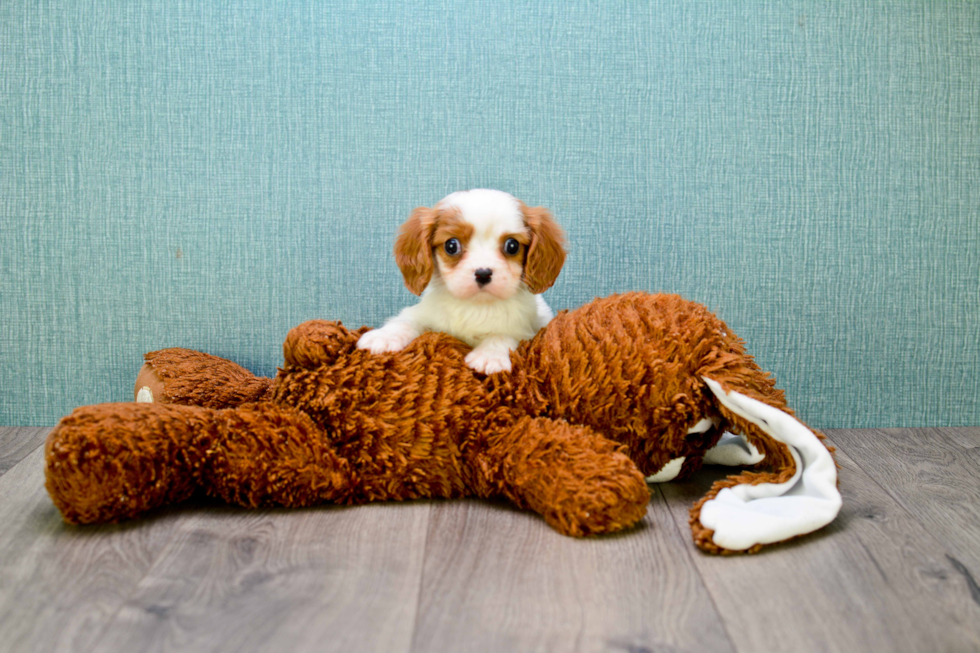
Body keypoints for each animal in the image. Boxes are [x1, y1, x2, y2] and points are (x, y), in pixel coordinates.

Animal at [356, 188, 564, 372]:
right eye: (451, 245)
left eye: (512, 246)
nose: (483, 273)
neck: (474, 306)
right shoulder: (424, 314)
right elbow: (405, 321)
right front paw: (383, 336)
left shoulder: (523, 330)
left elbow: (502, 335)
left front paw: (489, 356)